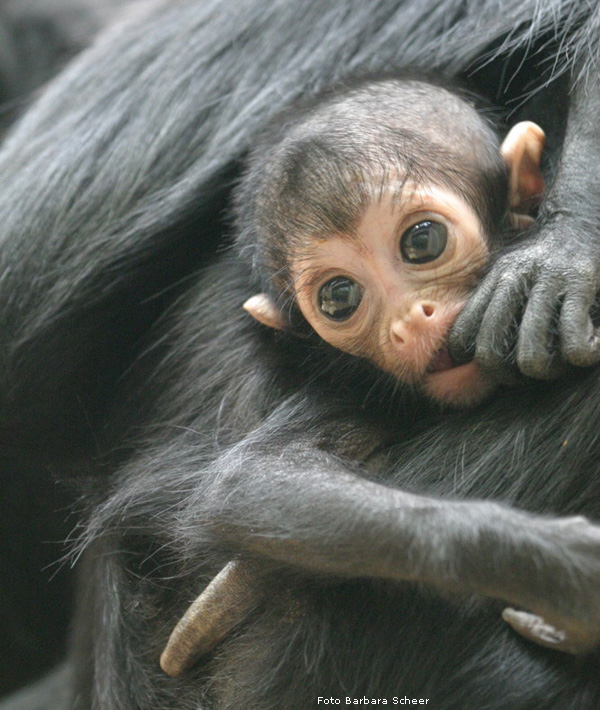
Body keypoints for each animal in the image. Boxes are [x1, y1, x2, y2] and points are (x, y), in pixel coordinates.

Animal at [162, 75, 548, 676]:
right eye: (339, 297)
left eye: (422, 241)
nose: (410, 321)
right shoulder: (358, 392)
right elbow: (247, 479)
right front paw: (547, 564)